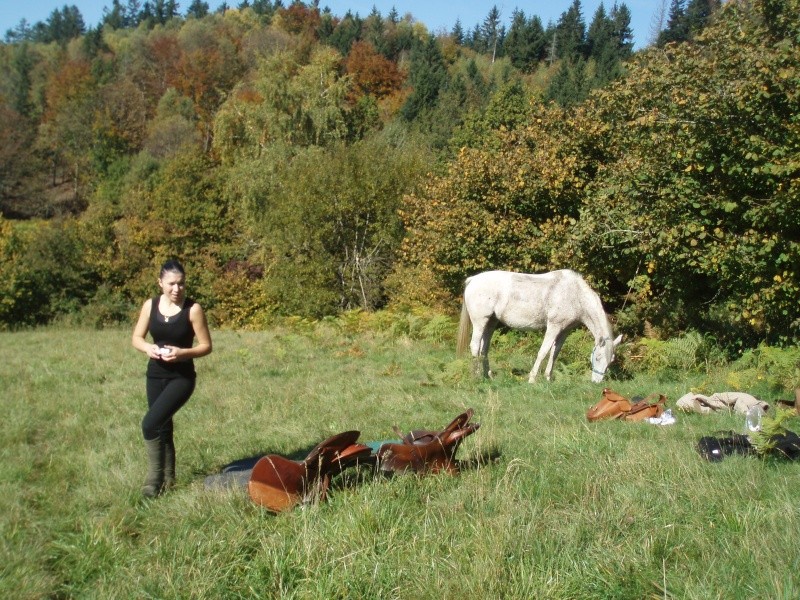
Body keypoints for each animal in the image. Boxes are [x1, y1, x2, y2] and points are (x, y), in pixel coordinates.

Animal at [456, 270, 624, 382]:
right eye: (598, 357)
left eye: (611, 360)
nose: (597, 382)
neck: (575, 295)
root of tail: (472, 280)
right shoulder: (554, 327)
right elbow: (543, 351)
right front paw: (532, 378)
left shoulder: (565, 330)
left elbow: (554, 353)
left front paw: (548, 378)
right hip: (480, 322)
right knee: (475, 346)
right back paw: (476, 377)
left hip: (491, 322)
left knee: (484, 349)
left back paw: (488, 376)